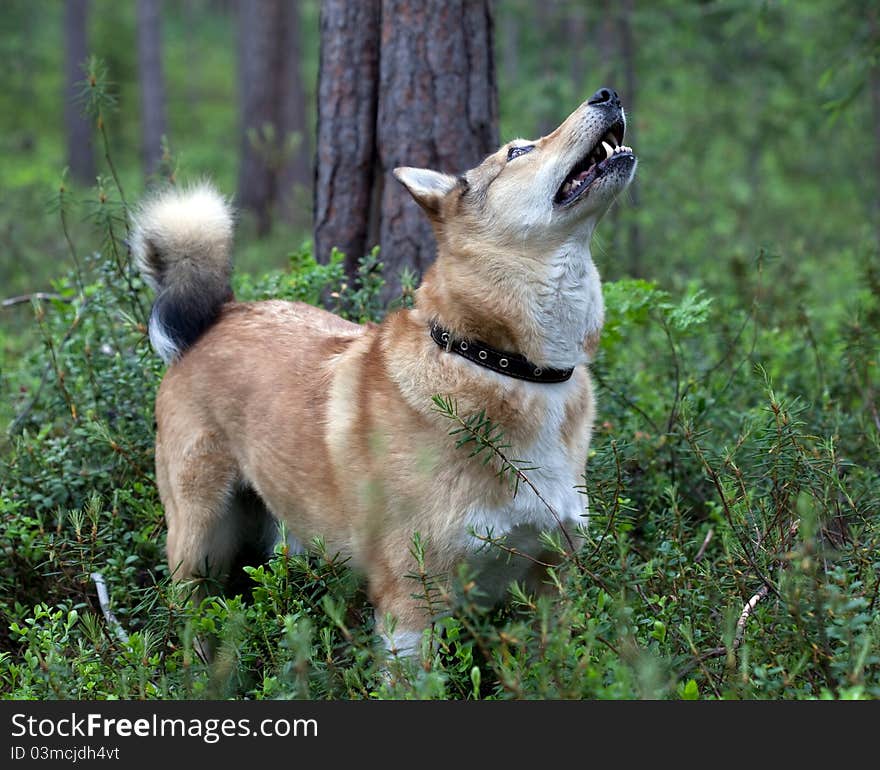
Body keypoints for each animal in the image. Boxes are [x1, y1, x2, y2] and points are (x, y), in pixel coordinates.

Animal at [131, 88, 636, 656]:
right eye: (517, 152)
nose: (607, 94)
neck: (503, 362)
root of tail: (219, 315)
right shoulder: (412, 601)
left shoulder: (550, 587)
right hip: (199, 541)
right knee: (189, 613)